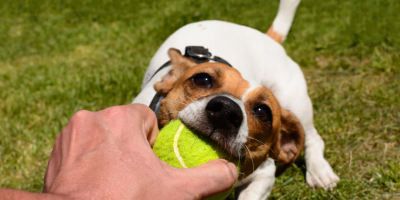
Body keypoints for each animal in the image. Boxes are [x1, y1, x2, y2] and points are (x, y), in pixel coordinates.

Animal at [133, 0, 340, 198]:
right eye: (202, 79)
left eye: (263, 112)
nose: (226, 110)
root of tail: (267, 37)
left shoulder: (264, 175)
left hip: (295, 101)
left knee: (313, 138)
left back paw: (320, 172)